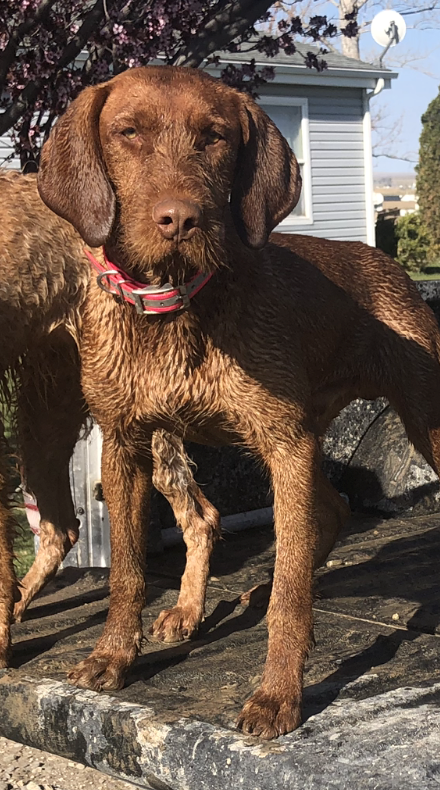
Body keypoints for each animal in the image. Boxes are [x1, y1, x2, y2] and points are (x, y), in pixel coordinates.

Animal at [37, 65, 440, 740]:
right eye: (128, 132)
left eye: (215, 137)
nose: (180, 220)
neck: (175, 310)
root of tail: (387, 263)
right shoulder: (125, 444)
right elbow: (126, 571)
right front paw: (114, 654)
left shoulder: (285, 441)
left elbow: (291, 602)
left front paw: (279, 694)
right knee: (329, 511)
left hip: (410, 424)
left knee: (316, 529)